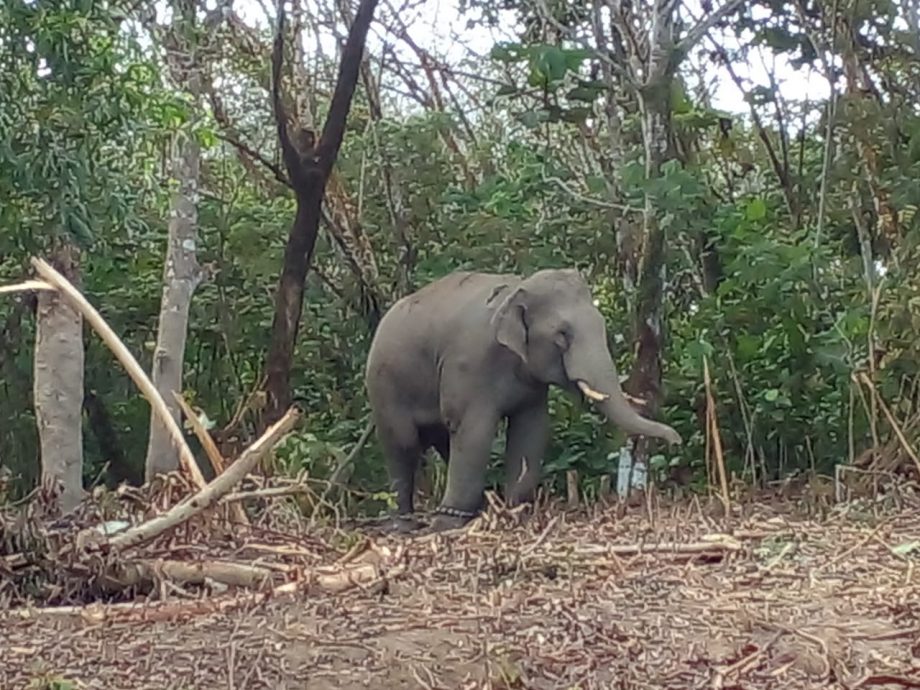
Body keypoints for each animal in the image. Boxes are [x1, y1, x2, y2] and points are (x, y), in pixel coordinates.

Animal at [362, 266, 680, 528]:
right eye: (562, 334)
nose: (675, 440)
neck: (518, 288)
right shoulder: (469, 365)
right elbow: (474, 430)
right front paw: (448, 523)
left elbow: (530, 430)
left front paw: (515, 511)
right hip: (383, 386)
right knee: (403, 443)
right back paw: (405, 524)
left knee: (443, 441)